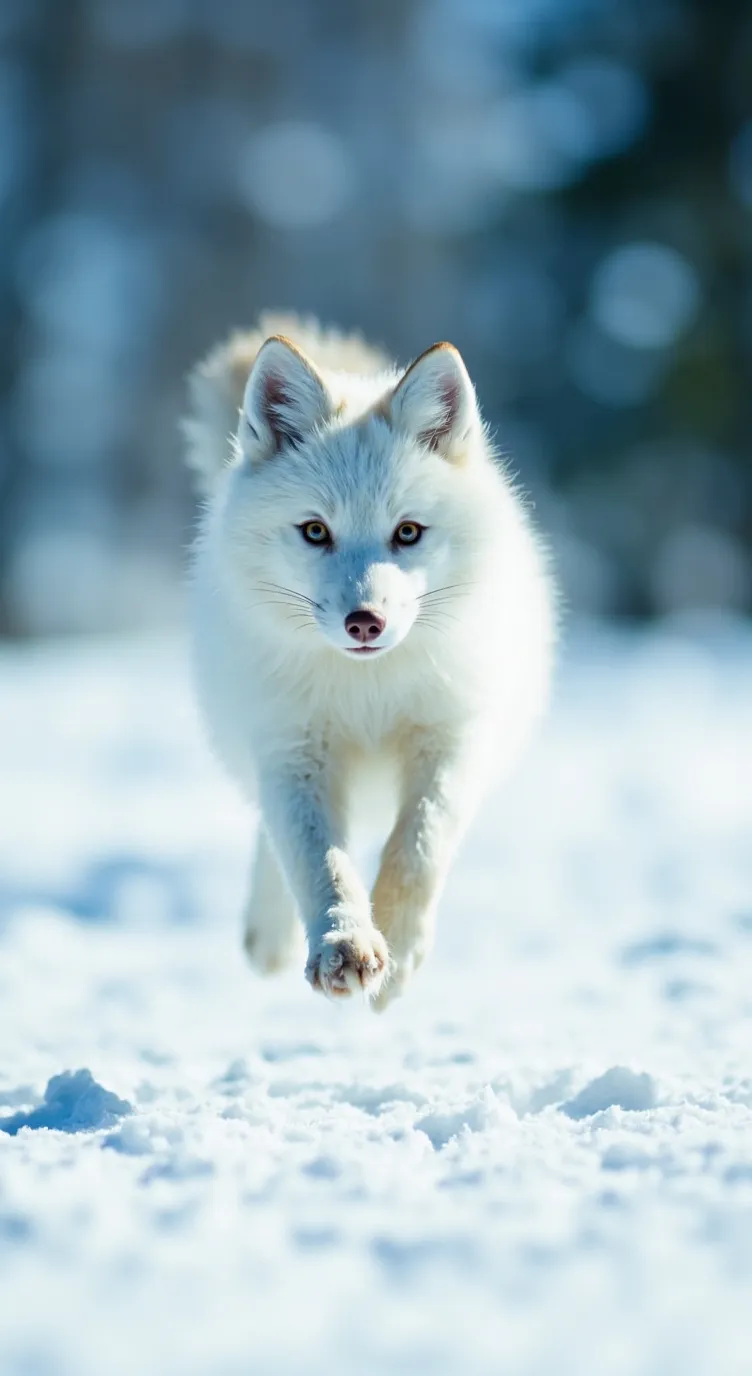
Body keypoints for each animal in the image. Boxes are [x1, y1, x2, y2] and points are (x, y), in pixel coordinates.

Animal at [183, 312, 555, 1010]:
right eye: (315, 531)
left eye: (407, 532)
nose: (365, 622)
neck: (369, 692)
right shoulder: (293, 751)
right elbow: (319, 862)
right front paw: (344, 944)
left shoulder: (451, 739)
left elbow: (418, 849)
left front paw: (400, 953)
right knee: (272, 840)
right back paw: (270, 934)